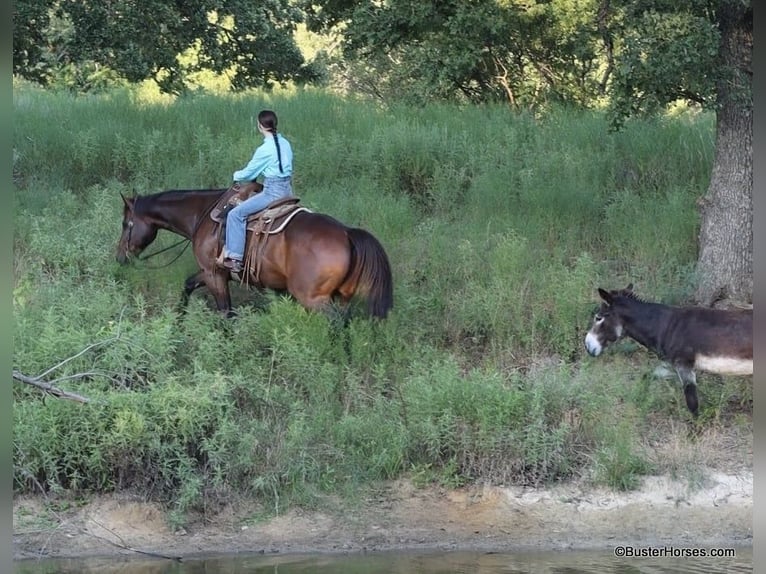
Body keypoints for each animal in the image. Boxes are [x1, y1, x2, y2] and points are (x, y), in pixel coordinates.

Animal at [115, 188, 394, 320]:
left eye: (126, 224)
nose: (120, 257)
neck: (201, 215)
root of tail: (347, 233)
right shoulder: (213, 272)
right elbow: (188, 285)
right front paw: (178, 320)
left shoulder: (214, 275)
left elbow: (226, 313)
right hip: (342, 296)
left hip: (313, 298)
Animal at [584, 284, 752, 416]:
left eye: (598, 318)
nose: (587, 346)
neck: (665, 326)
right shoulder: (671, 365)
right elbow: (646, 377)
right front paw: (639, 401)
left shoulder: (683, 365)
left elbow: (692, 402)